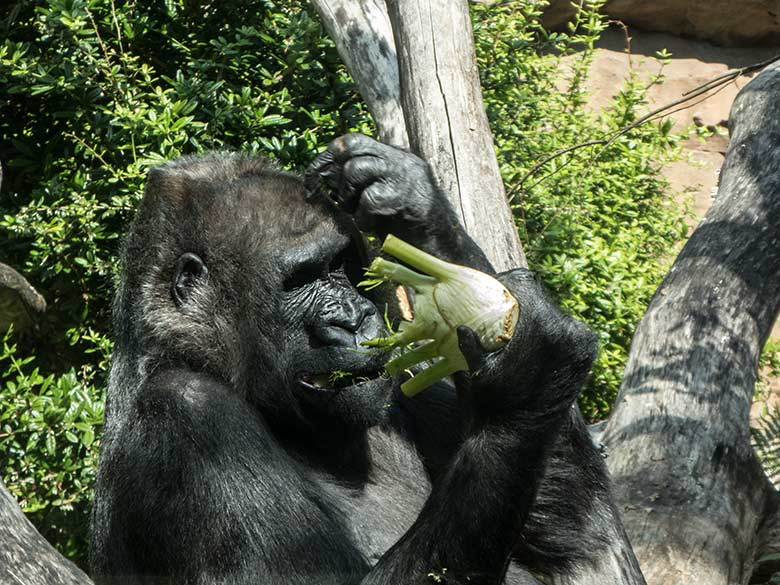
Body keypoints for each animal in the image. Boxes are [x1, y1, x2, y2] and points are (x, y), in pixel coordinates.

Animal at [91, 135, 616, 580]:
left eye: (341, 267)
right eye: (301, 280)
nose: (354, 318)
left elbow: (555, 537)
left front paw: (409, 199)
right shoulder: (189, 412)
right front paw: (532, 369)